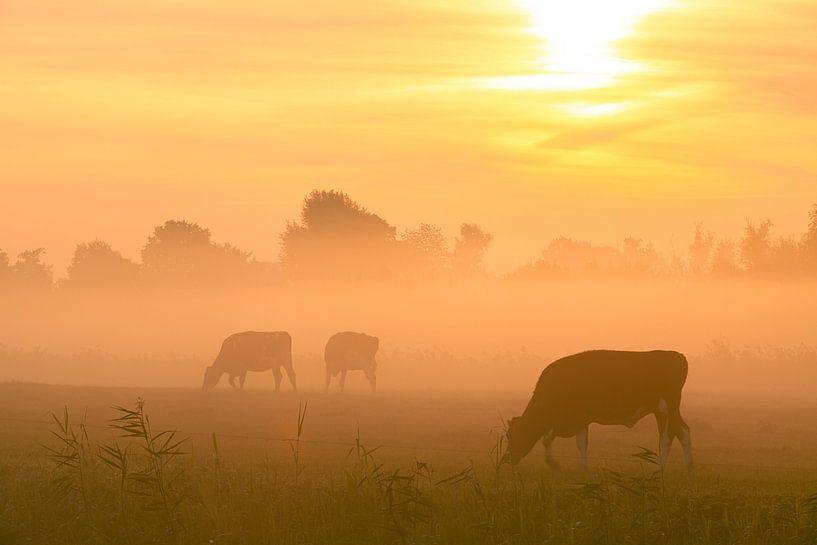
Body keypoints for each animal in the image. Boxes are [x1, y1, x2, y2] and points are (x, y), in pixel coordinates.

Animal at [506, 350, 692, 470]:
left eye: (512, 436)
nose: (509, 459)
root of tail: (678, 356)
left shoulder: (573, 417)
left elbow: (550, 440)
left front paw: (553, 463)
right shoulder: (575, 420)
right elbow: (579, 443)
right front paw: (583, 467)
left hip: (669, 406)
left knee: (681, 431)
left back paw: (687, 467)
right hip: (660, 411)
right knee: (667, 435)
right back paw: (662, 467)